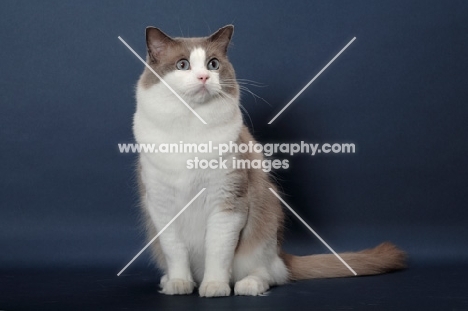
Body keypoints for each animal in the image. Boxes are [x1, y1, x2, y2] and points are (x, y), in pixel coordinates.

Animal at [133, 24, 406, 298]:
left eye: (213, 64)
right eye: (183, 65)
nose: (203, 78)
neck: (190, 126)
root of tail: (282, 254)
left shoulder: (228, 202)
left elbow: (218, 252)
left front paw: (215, 287)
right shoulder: (161, 205)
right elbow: (175, 251)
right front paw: (180, 284)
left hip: (263, 232)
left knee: (269, 274)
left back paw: (246, 286)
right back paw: (170, 281)